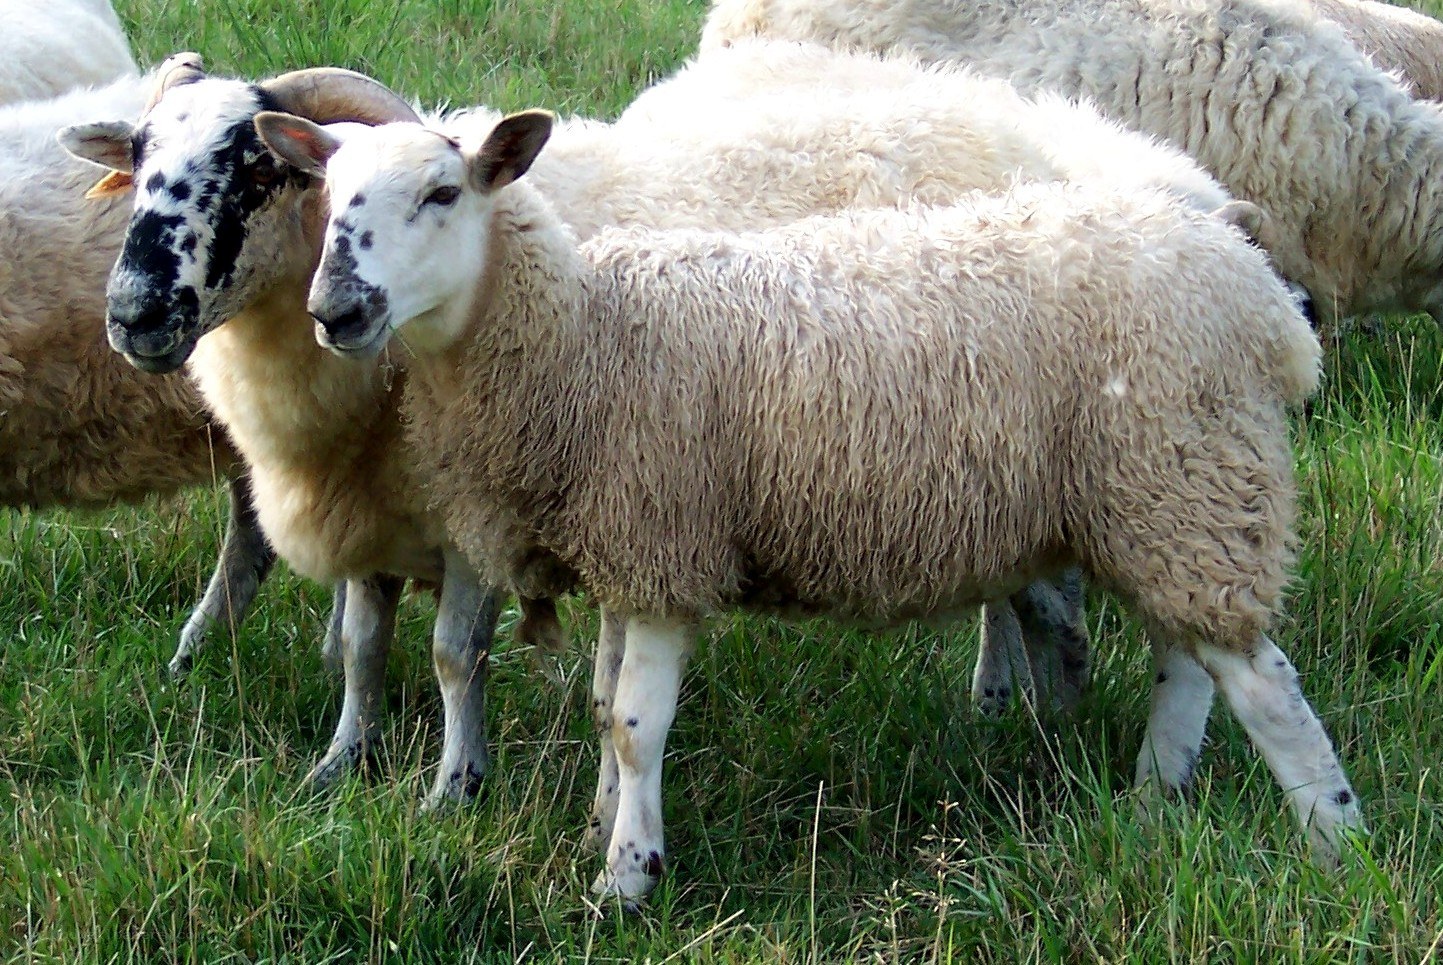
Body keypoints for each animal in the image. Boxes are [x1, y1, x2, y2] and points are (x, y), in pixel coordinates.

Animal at [259, 110, 1361, 902]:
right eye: (331, 196)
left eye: (443, 192)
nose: (336, 310)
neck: (586, 330)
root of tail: (1258, 295)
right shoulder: (628, 543)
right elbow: (604, 705)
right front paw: (602, 827)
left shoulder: (665, 538)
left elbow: (637, 721)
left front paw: (626, 879)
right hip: (1158, 499)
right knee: (1187, 659)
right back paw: (1152, 798)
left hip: (1185, 477)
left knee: (1264, 683)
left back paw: (1336, 843)